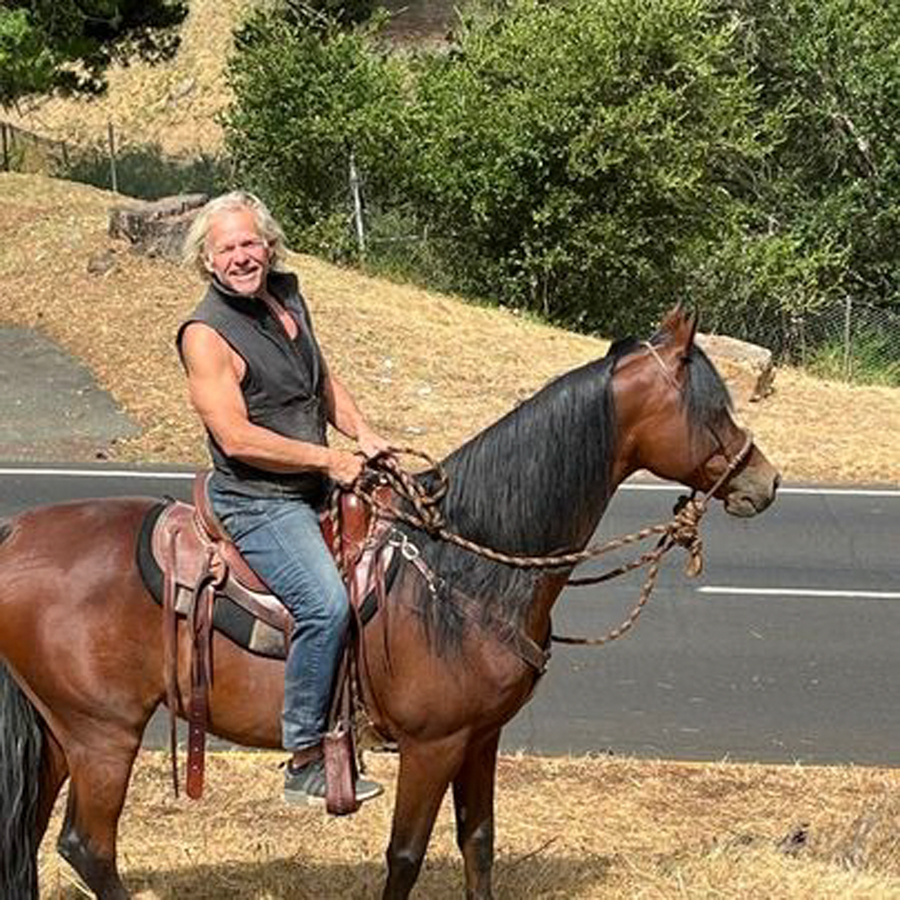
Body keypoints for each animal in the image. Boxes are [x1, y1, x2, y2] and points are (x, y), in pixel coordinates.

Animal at [0, 310, 780, 900]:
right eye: (713, 410)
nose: (765, 484)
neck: (467, 568)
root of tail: (16, 535)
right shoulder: (432, 746)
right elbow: (405, 857)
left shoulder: (481, 739)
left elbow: (478, 843)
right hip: (103, 733)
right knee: (87, 846)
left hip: (62, 735)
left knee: (35, 835)